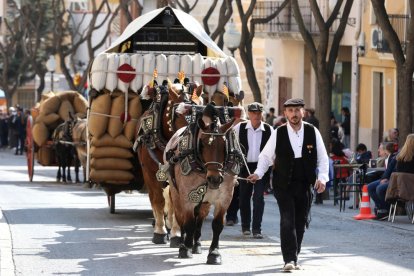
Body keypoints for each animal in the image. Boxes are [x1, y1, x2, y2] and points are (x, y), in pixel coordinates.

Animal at [135, 80, 203, 246]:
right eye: (178, 113)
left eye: (202, 109)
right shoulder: (150, 173)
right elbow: (157, 200)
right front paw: (159, 232)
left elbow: (175, 203)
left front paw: (176, 233)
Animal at [164, 104, 244, 264]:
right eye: (202, 144)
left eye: (224, 145)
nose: (215, 179)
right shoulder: (187, 197)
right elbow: (188, 223)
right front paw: (185, 248)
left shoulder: (224, 198)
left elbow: (217, 225)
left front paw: (214, 253)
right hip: (177, 195)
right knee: (181, 218)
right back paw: (182, 243)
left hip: (205, 201)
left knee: (199, 219)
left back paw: (197, 245)